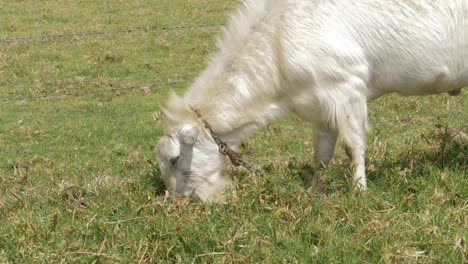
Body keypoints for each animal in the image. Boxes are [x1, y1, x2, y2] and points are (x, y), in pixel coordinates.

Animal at [155, 0, 466, 201]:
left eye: (174, 158)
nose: (175, 201)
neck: (279, 40)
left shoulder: (348, 88)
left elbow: (353, 147)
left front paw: (359, 192)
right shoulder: (320, 106)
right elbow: (321, 156)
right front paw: (316, 192)